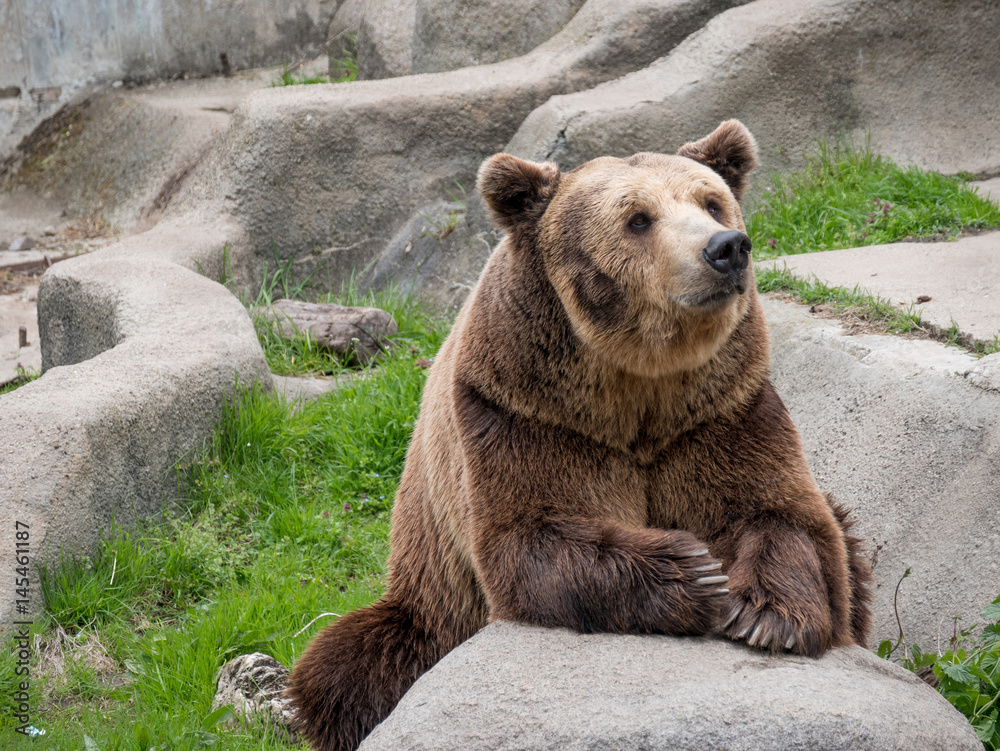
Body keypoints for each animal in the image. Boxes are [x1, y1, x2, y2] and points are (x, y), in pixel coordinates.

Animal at [286, 119, 873, 751]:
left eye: (712, 202)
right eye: (638, 218)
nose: (726, 248)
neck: (638, 390)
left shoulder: (721, 413)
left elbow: (786, 515)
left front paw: (768, 615)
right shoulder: (524, 414)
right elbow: (533, 537)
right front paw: (693, 571)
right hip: (431, 594)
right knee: (349, 666)